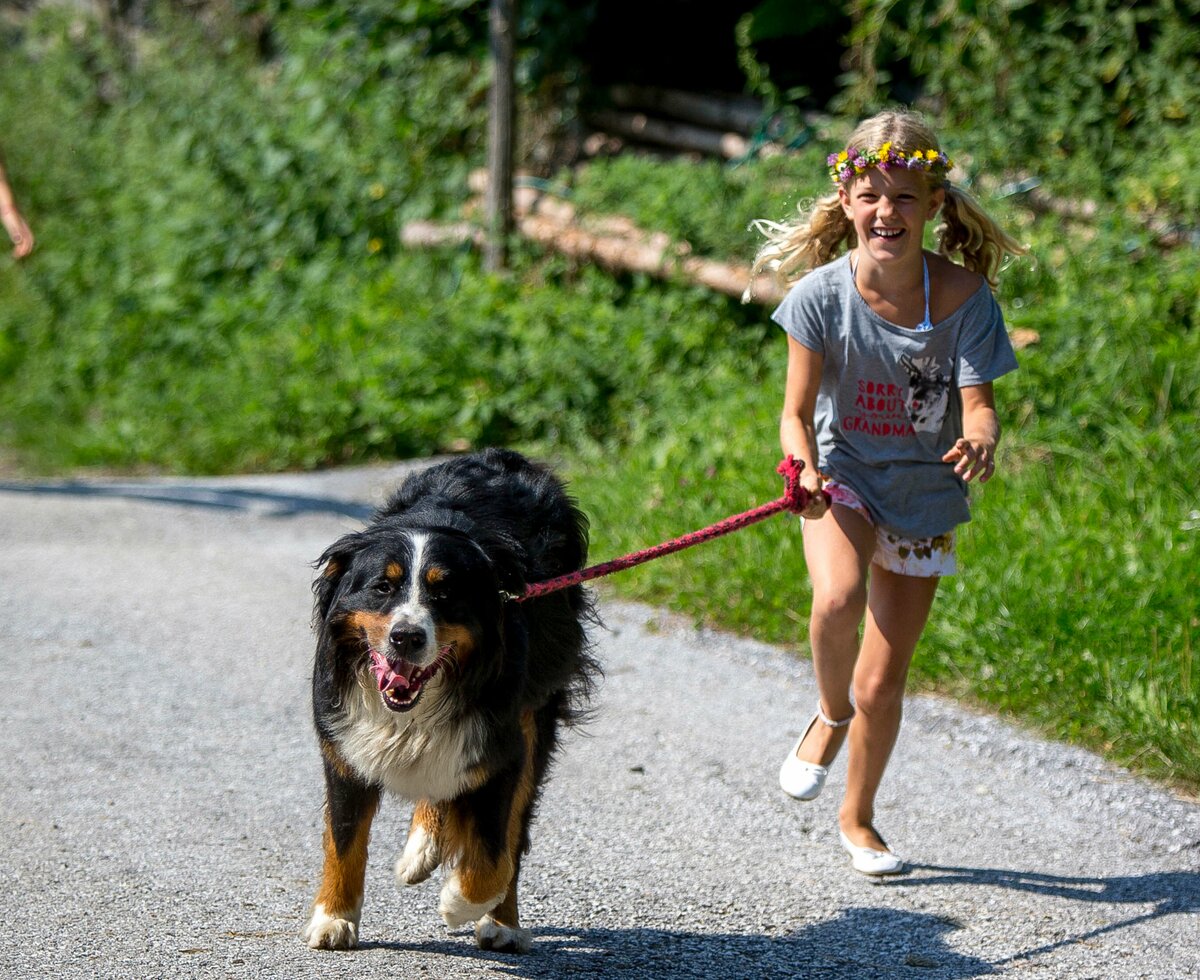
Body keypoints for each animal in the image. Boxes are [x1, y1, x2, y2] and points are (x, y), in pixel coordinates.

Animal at [302, 446, 597, 950]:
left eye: (445, 593)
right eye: (382, 586)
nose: (406, 637)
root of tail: (507, 456)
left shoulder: (500, 750)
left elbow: (494, 854)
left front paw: (461, 903)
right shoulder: (342, 745)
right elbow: (344, 841)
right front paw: (333, 918)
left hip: (536, 712)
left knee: (512, 830)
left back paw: (502, 922)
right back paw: (420, 850)